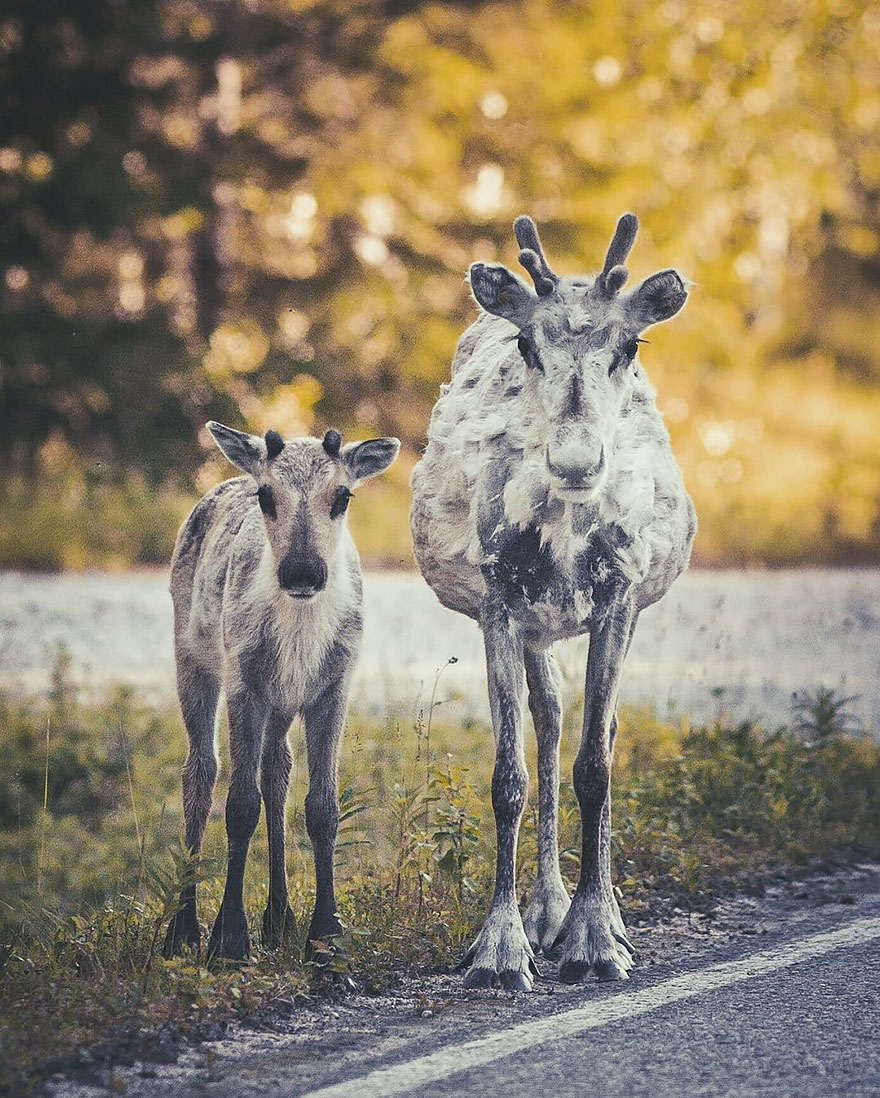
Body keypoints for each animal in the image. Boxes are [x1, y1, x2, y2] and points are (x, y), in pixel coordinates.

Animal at [163, 419, 397, 961]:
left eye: (343, 495)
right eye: (267, 496)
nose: (302, 571)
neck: (299, 638)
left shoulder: (333, 688)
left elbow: (322, 807)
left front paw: (325, 932)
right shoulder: (245, 683)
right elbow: (239, 804)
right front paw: (229, 938)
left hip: (283, 703)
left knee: (278, 767)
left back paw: (280, 918)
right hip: (193, 659)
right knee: (200, 771)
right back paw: (183, 930)